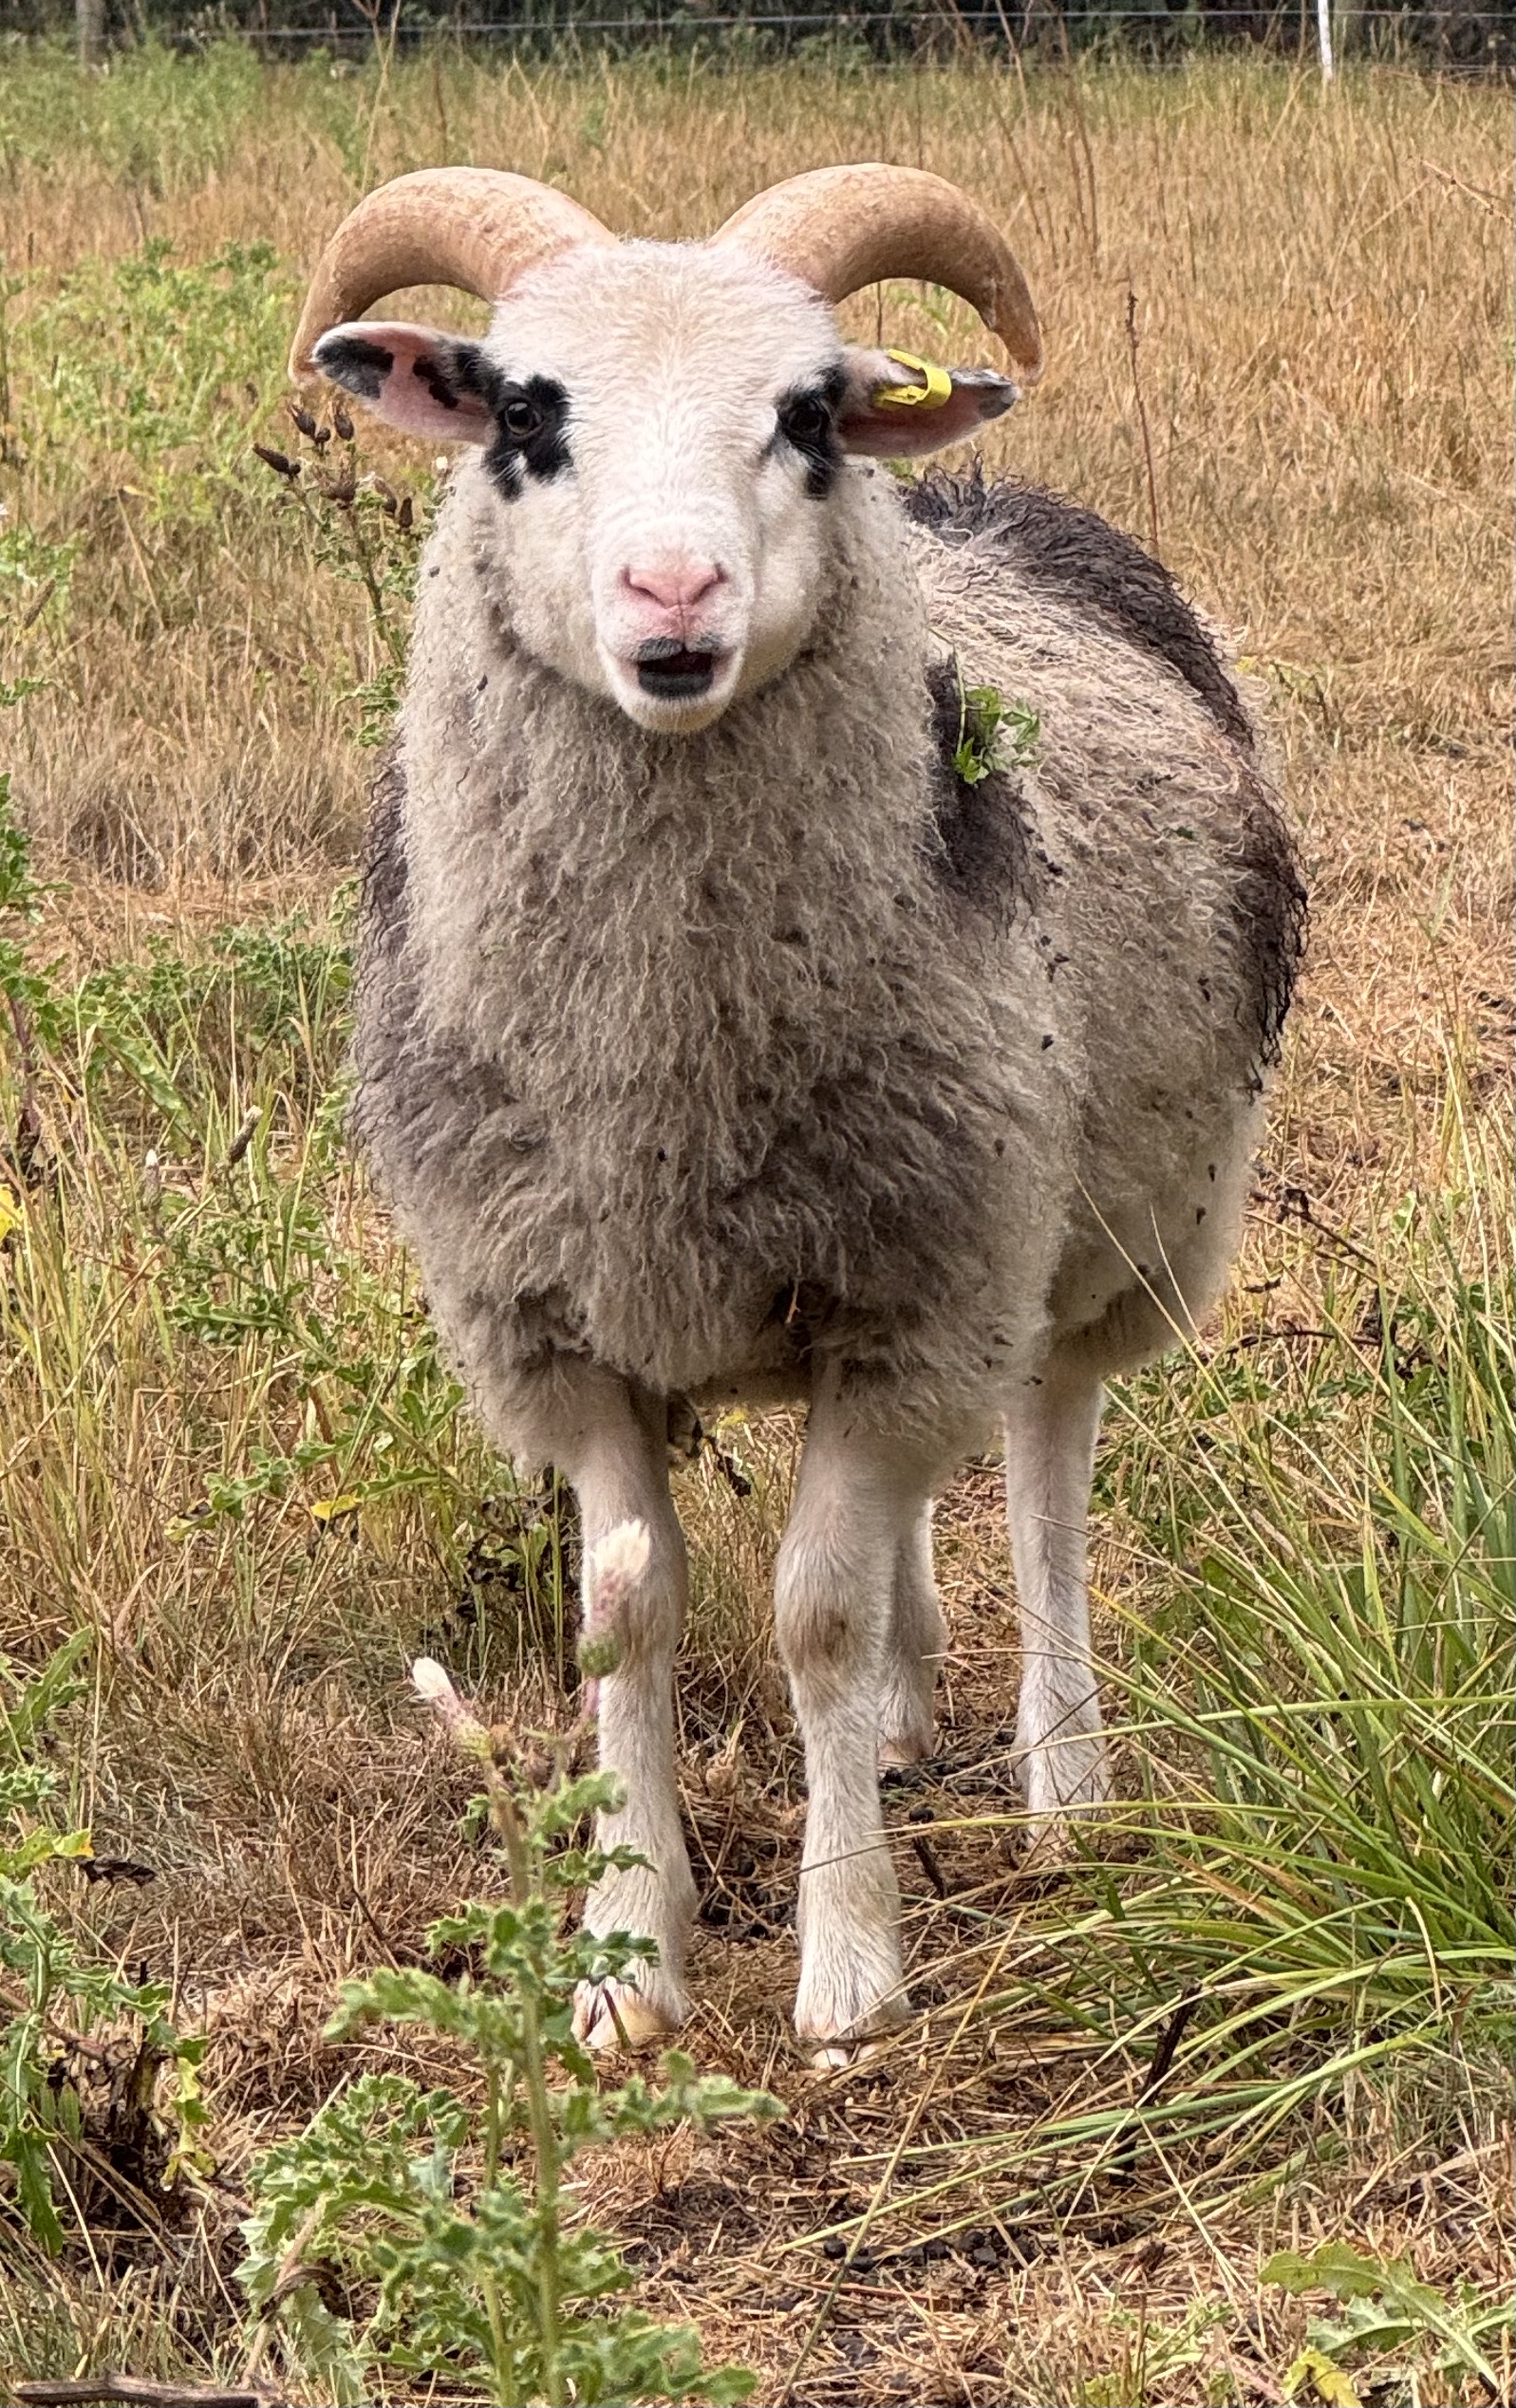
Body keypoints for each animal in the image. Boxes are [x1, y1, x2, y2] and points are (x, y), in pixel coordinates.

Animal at [293, 163, 1305, 2062]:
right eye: (523, 417)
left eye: (808, 417)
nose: (672, 591)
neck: (660, 1086)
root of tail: (983, 503)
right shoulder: (562, 1324)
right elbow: (627, 1615)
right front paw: (629, 1965)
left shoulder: (917, 1285)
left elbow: (813, 1614)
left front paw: (847, 1970)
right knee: (918, 1493)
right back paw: (911, 1714)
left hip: (1088, 1224)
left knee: (1041, 1454)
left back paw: (1060, 1772)